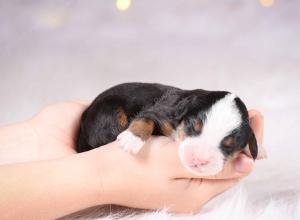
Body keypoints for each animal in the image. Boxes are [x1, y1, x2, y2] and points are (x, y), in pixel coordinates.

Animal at [76, 82, 258, 175]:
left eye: (229, 145)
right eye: (193, 126)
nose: (198, 160)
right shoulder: (159, 112)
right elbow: (145, 119)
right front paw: (131, 140)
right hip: (108, 112)